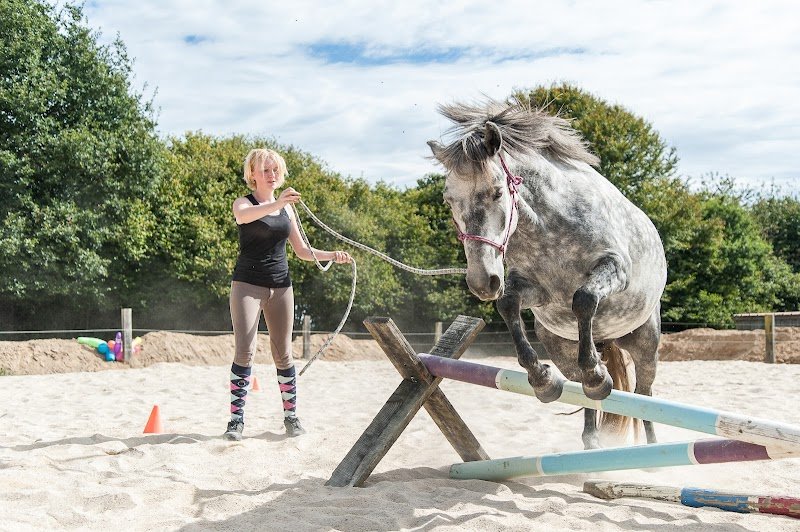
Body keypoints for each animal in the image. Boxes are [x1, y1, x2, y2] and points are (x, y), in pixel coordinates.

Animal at [427, 99, 667, 449]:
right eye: (448, 200)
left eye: (497, 192)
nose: (482, 282)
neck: (548, 228)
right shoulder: (536, 290)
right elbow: (508, 305)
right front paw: (542, 380)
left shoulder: (614, 269)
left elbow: (583, 298)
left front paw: (596, 375)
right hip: (561, 348)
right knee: (583, 387)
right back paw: (591, 435)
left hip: (645, 343)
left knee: (644, 394)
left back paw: (647, 442)